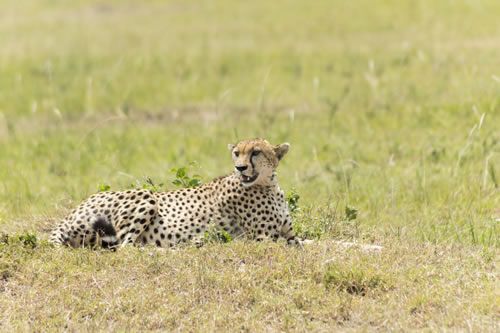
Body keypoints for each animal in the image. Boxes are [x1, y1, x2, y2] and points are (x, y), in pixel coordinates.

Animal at [48, 136, 302, 248]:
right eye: (237, 153)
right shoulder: (262, 238)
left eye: (256, 152)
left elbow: (302, 241)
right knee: (126, 247)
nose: (240, 168)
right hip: (145, 197)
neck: (268, 185)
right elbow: (291, 245)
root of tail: (72, 212)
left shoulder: (287, 233)